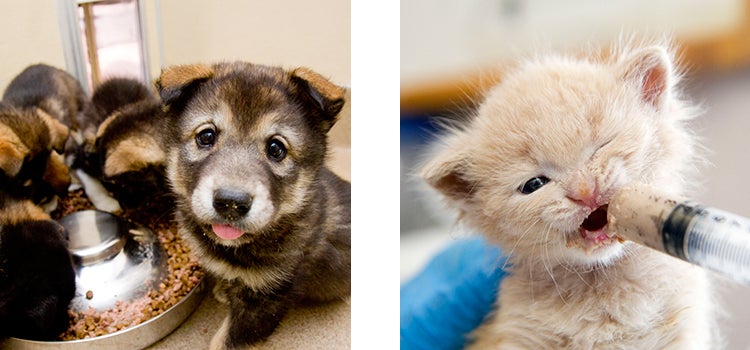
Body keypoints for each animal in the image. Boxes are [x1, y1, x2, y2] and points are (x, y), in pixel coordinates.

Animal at [158, 63, 352, 350]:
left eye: (276, 148)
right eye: (206, 136)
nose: (231, 202)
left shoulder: (265, 298)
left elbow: (227, 340)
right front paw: (224, 288)